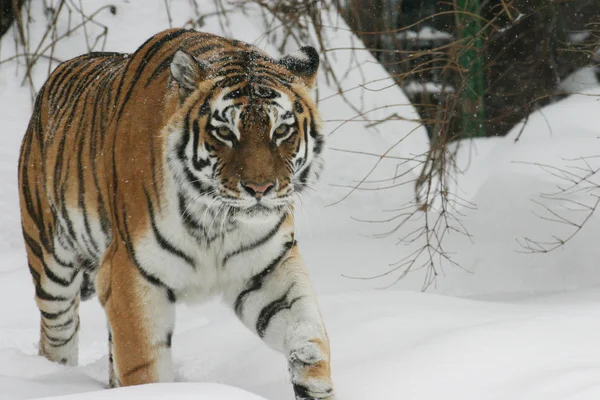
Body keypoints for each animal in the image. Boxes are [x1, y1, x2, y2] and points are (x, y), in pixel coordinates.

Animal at [17, 28, 332, 400]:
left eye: (281, 130)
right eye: (224, 132)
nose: (260, 188)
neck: (217, 221)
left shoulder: (268, 268)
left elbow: (305, 328)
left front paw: (311, 376)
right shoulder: (131, 275)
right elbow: (144, 367)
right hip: (51, 265)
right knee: (57, 335)